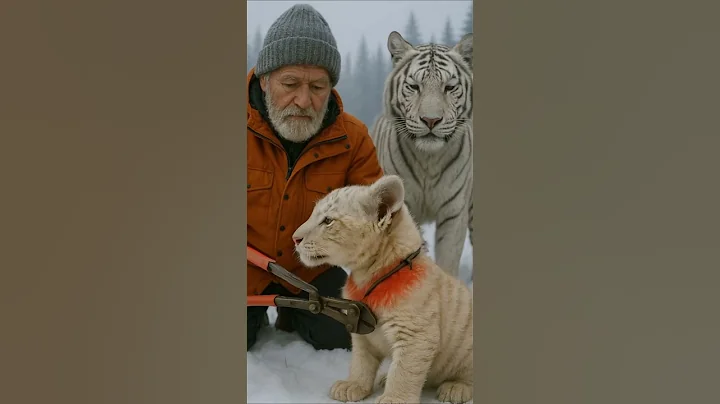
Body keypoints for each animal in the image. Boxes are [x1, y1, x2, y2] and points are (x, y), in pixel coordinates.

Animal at [292, 174, 473, 404]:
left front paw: (394, 398)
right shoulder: (361, 329)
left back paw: (455, 388)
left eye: (327, 221)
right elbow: (361, 361)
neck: (367, 277)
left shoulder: (415, 335)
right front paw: (353, 386)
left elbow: (404, 371)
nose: (295, 238)